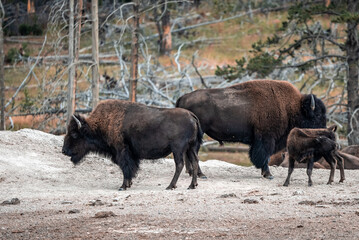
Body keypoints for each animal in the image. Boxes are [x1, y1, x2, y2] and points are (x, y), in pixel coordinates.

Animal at [62, 99, 202, 191]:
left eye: (74, 134)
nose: (64, 150)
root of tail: (192, 115)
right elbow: (129, 168)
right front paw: (128, 184)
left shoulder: (122, 151)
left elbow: (126, 168)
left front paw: (123, 186)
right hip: (190, 148)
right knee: (195, 162)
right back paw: (192, 185)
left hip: (178, 149)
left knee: (179, 164)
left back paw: (170, 186)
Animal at [176, 79, 328, 178]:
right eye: (317, 115)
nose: (324, 133)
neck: (291, 107)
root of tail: (182, 98)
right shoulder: (266, 139)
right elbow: (264, 156)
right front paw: (268, 174)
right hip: (199, 134)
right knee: (193, 153)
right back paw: (200, 174)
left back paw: (191, 172)